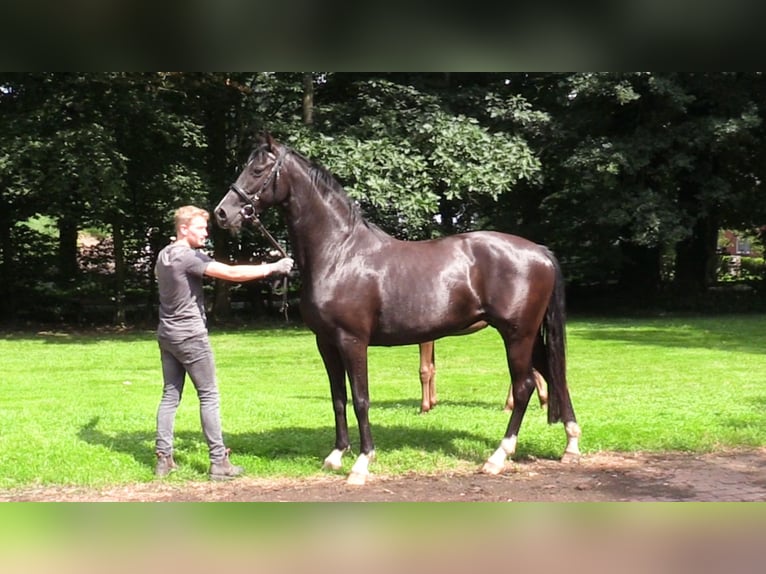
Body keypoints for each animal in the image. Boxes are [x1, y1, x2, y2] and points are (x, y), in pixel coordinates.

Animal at [213, 135, 580, 486]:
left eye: (258, 170)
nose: (222, 213)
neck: (338, 253)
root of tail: (540, 251)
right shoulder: (326, 343)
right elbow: (338, 397)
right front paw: (336, 455)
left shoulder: (352, 341)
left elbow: (361, 398)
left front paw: (362, 463)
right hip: (528, 337)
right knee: (555, 375)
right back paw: (571, 445)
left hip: (517, 335)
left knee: (525, 386)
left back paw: (498, 457)